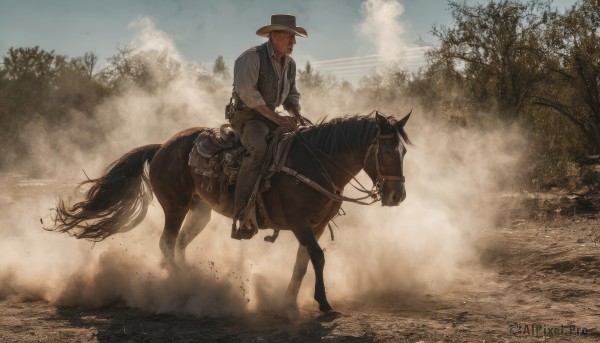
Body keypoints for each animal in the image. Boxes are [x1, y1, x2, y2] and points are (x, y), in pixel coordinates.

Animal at [50, 111, 412, 314]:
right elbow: (318, 258)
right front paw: (323, 304)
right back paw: (184, 287)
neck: (314, 163)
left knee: (179, 245)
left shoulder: (317, 226)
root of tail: (163, 146)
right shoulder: (300, 224)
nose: (397, 196)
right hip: (175, 206)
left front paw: (288, 301)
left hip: (200, 212)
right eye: (386, 149)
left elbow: (303, 263)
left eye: (404, 150)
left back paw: (186, 280)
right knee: (167, 244)